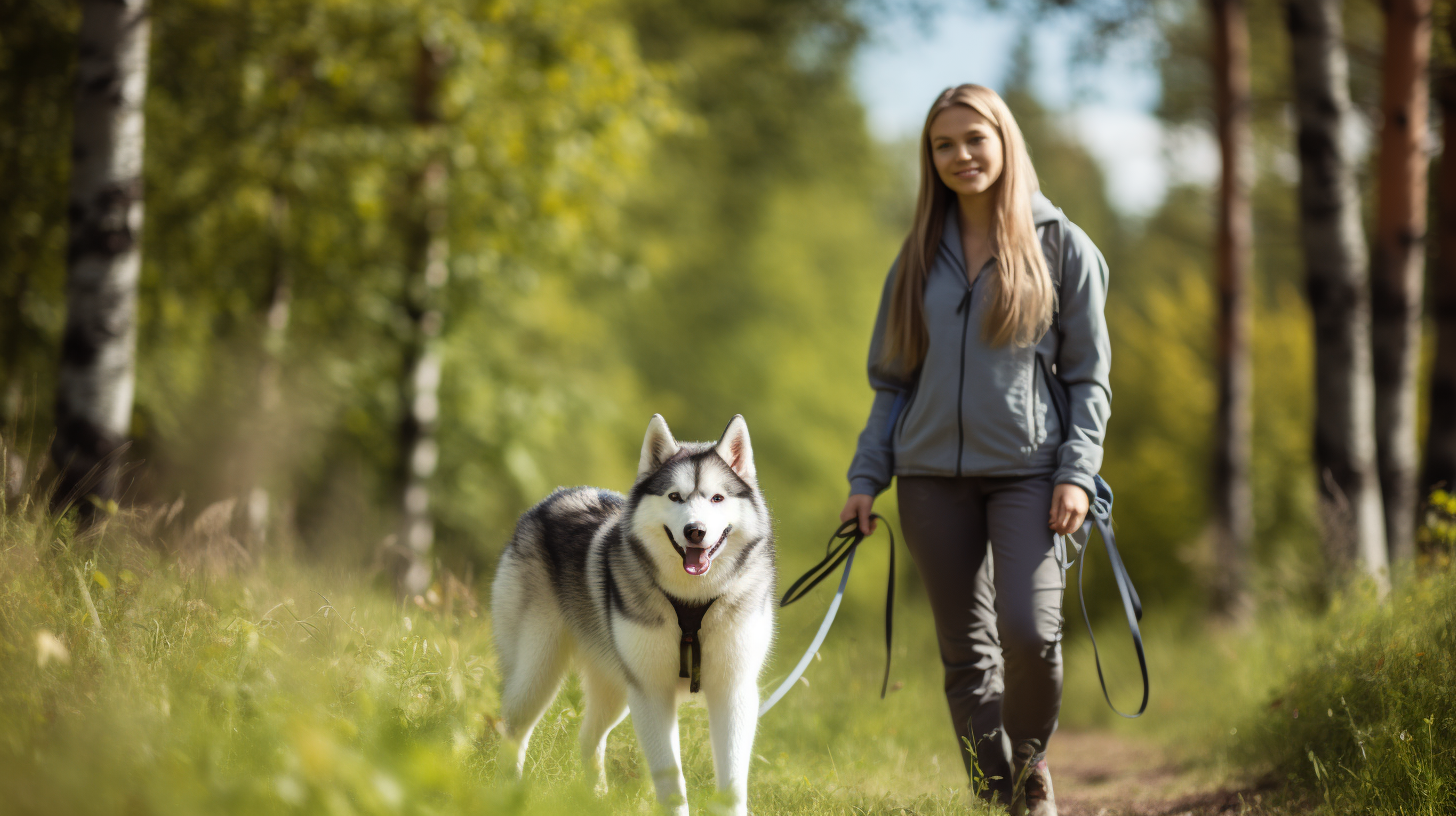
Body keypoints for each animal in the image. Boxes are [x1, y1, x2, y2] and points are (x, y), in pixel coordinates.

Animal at [492, 416, 774, 810]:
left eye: (718, 498)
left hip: (614, 687)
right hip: (539, 671)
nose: (695, 531)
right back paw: (508, 791)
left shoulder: (734, 692)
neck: (692, 601)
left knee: (587, 737)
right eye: (675, 496)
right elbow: (671, 782)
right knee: (513, 730)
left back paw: (595, 798)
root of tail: (553, 498)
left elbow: (731, 788)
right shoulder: (651, 694)